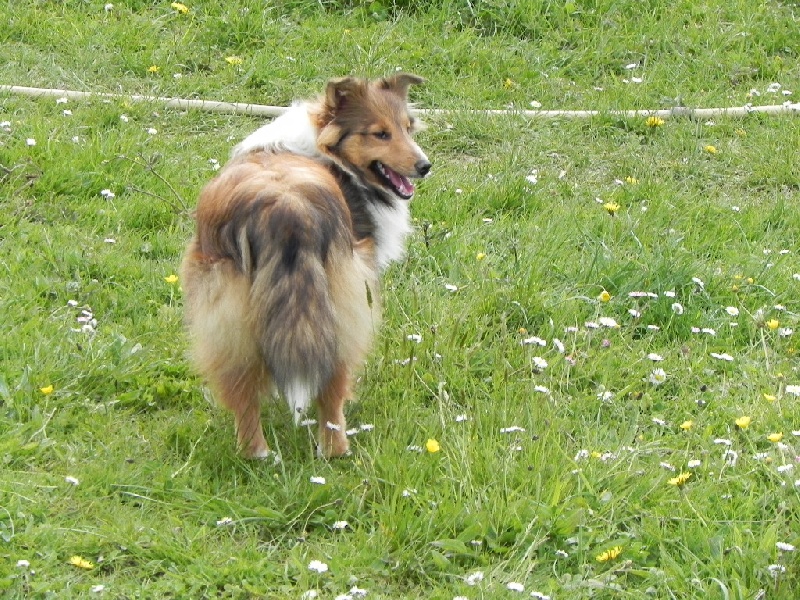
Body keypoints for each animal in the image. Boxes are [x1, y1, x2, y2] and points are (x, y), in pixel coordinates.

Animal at [181, 75, 432, 460]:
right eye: (380, 133)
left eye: (407, 127)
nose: (424, 166)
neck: (323, 149)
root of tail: (287, 210)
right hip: (343, 304)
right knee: (331, 389)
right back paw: (333, 450)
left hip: (232, 315)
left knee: (243, 389)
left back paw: (257, 454)